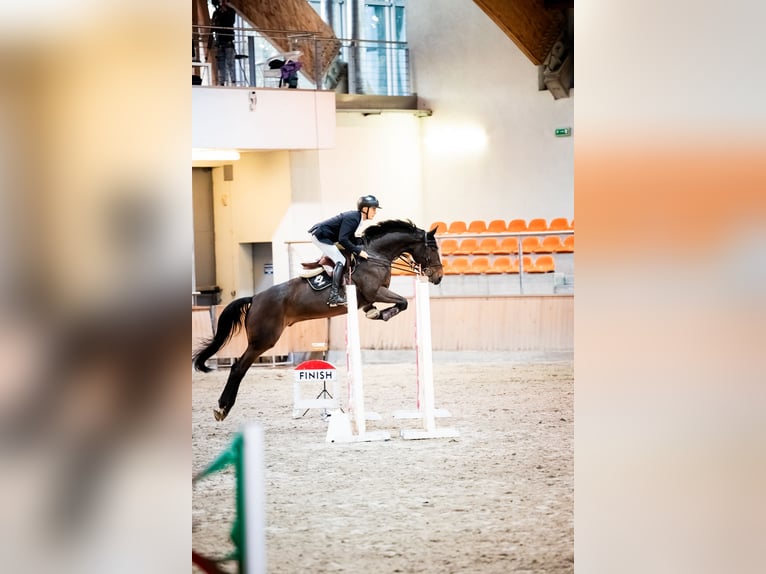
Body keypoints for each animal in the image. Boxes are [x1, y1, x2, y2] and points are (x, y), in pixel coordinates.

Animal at [192, 218, 444, 420]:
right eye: (432, 249)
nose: (439, 277)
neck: (375, 256)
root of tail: (255, 298)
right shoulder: (375, 291)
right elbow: (402, 302)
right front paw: (384, 314)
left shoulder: (366, 297)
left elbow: (390, 304)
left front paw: (375, 313)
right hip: (263, 340)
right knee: (238, 368)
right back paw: (223, 408)